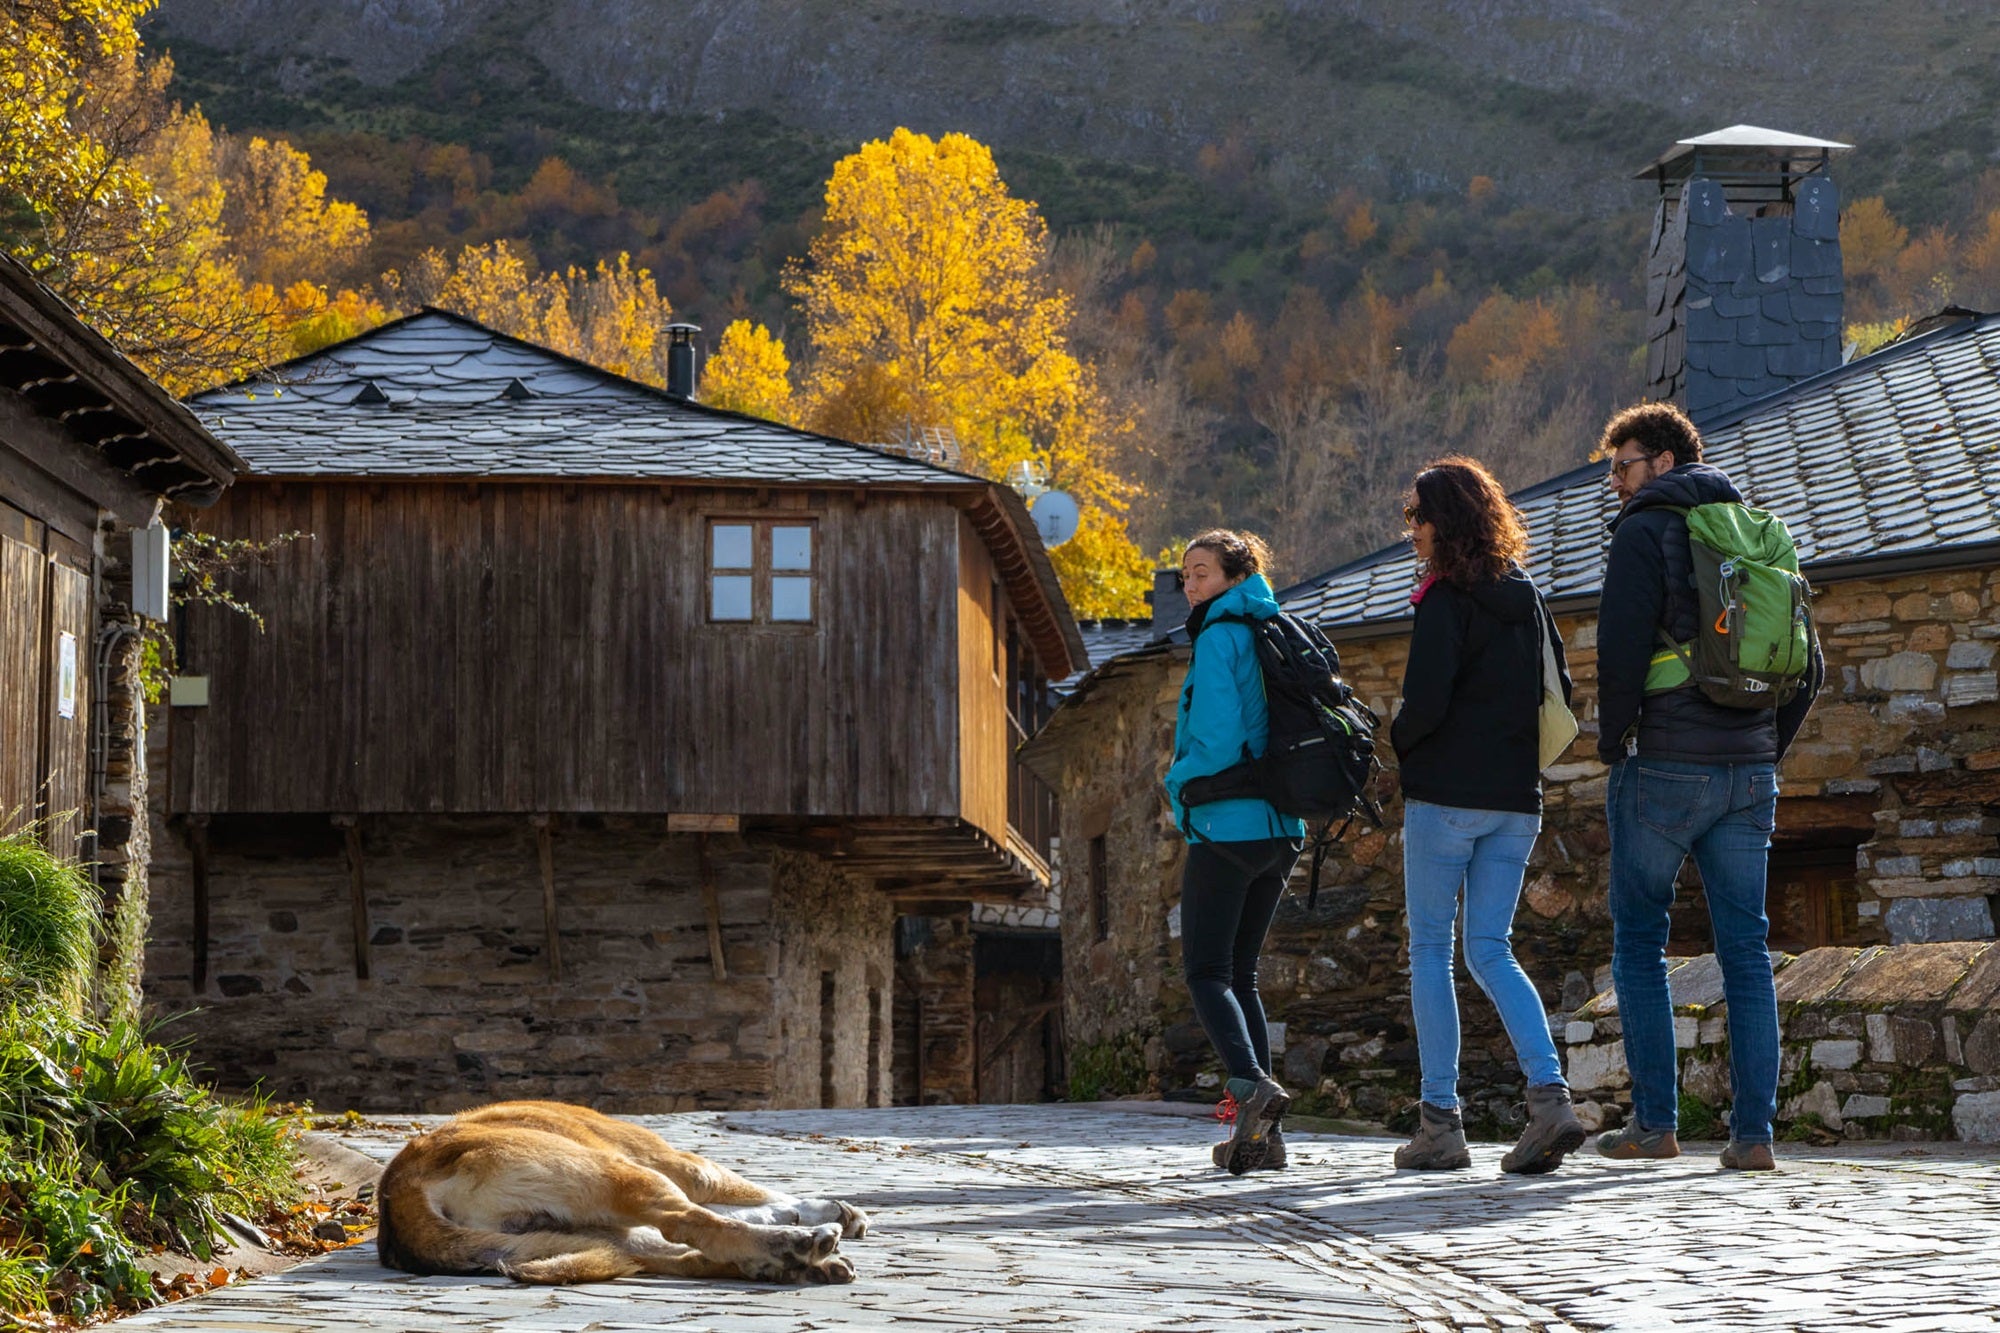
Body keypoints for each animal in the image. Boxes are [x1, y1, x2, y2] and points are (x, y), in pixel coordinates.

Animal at [376, 1096, 868, 1280]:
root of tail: (400, 1193)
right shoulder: (683, 1166)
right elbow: (744, 1193)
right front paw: (830, 1209)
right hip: (617, 1175)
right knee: (691, 1223)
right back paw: (793, 1248)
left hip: (590, 1232)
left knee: (678, 1255)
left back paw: (788, 1265)